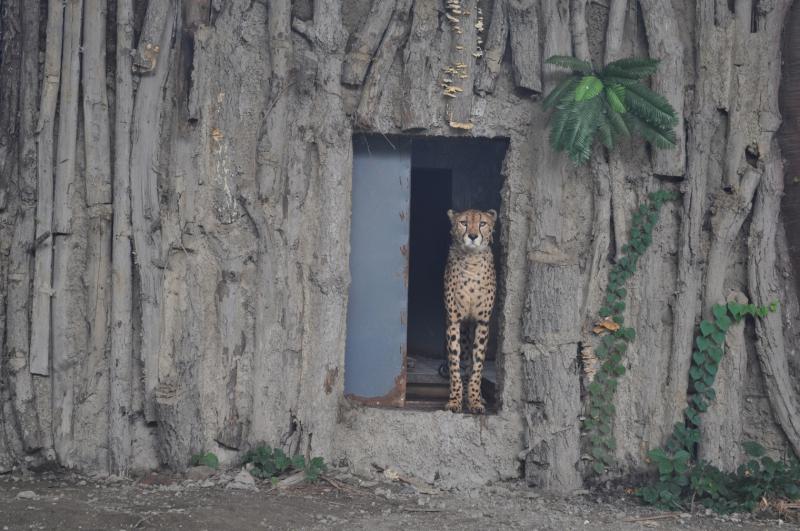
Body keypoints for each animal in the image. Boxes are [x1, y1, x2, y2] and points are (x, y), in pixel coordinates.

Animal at [440, 209, 496, 416]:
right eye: (463, 222)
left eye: (482, 223)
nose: (472, 236)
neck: (472, 260)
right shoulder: (454, 320)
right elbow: (455, 362)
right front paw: (455, 399)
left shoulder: (482, 322)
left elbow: (478, 364)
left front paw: (474, 400)